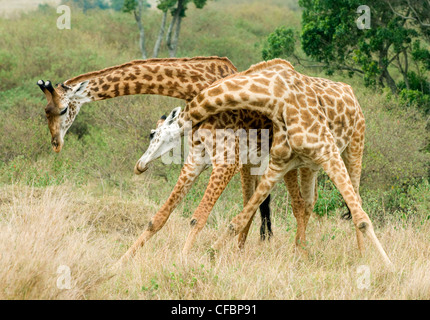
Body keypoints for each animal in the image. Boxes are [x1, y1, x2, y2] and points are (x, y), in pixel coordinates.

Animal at [142, 58, 394, 268]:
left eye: (152, 134)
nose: (140, 165)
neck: (275, 96)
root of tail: (351, 90)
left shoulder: (326, 150)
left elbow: (362, 218)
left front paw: (389, 267)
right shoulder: (279, 162)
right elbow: (241, 217)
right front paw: (212, 253)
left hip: (354, 145)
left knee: (355, 199)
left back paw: (361, 255)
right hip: (310, 165)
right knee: (308, 201)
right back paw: (301, 252)